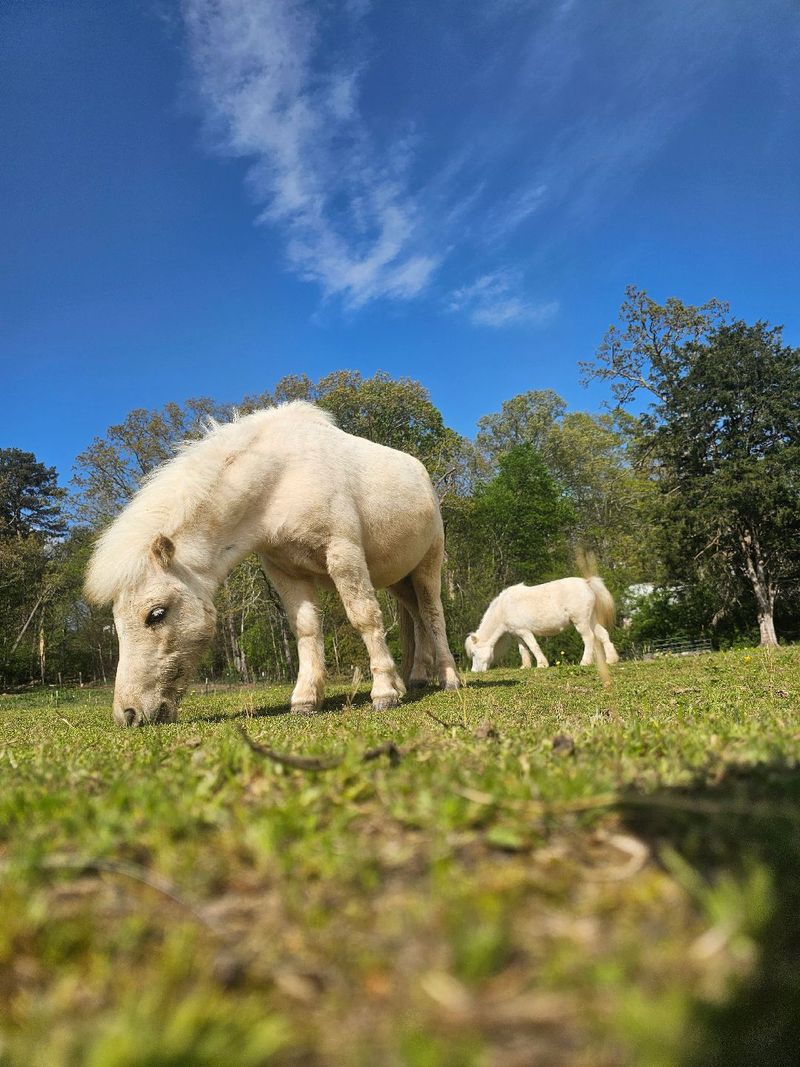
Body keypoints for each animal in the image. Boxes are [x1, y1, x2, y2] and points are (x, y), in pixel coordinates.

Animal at [85, 401, 460, 726]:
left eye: (156, 614)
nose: (128, 714)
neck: (281, 478)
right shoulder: (285, 571)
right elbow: (306, 629)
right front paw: (306, 700)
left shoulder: (343, 553)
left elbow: (364, 617)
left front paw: (384, 693)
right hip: (398, 579)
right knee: (415, 619)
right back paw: (415, 678)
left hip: (427, 565)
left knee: (432, 614)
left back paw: (449, 678)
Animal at [465, 576, 619, 672]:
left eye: (474, 653)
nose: (474, 671)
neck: (503, 608)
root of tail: (586, 583)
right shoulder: (518, 634)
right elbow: (523, 650)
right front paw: (525, 666)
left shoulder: (525, 632)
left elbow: (533, 647)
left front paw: (542, 664)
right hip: (591, 620)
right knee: (603, 635)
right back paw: (611, 659)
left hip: (581, 622)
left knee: (589, 638)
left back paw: (585, 662)